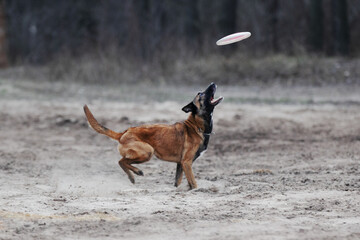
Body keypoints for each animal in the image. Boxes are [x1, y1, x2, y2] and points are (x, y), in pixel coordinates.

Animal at [83, 83, 222, 189]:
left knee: (122, 161)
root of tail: (124, 133)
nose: (213, 83)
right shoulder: (187, 163)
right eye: (201, 94)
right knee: (121, 161)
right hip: (148, 151)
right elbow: (194, 184)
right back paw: (136, 173)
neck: (196, 126)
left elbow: (178, 182)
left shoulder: (181, 164)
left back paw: (132, 176)